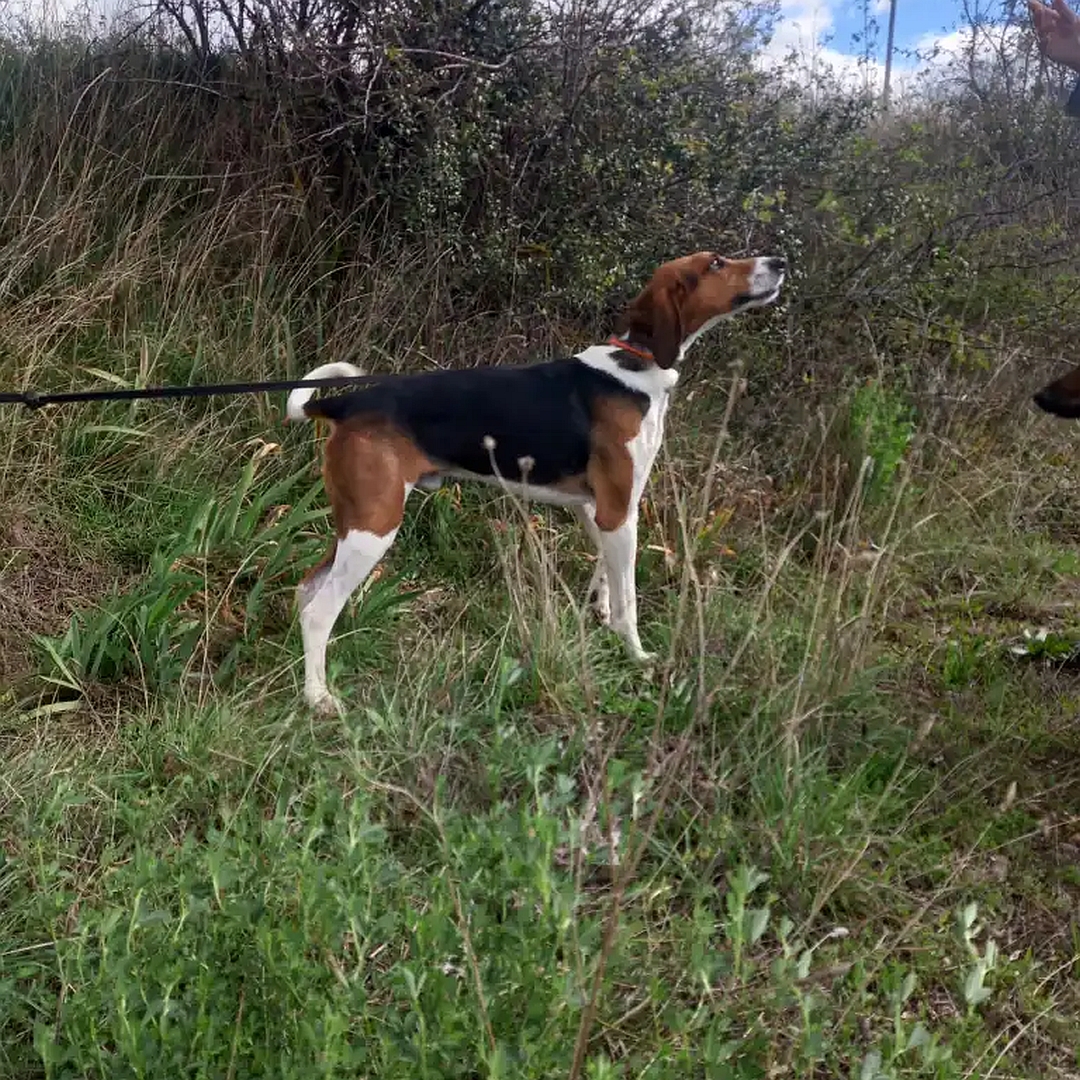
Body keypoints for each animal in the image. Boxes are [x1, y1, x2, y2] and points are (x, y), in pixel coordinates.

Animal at [285, 248, 786, 712]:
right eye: (716, 263)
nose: (780, 262)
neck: (633, 365)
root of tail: (346, 403)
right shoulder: (620, 509)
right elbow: (630, 600)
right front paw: (637, 655)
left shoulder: (599, 510)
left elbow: (606, 573)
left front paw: (601, 613)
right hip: (374, 527)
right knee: (320, 612)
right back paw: (317, 698)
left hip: (355, 522)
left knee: (306, 593)